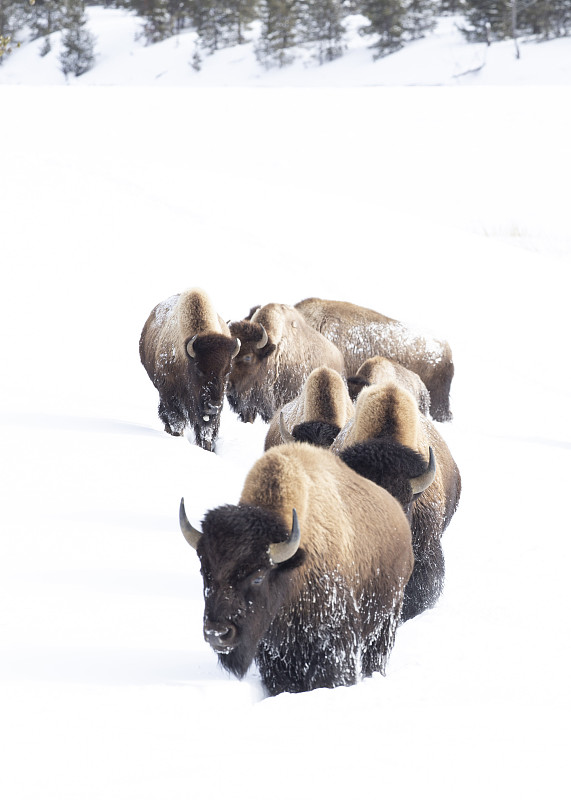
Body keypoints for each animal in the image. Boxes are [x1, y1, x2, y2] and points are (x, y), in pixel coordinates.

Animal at [140, 288, 240, 450]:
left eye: (227, 372)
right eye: (199, 370)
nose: (213, 406)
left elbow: (206, 430)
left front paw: (206, 447)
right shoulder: (170, 394)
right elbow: (177, 421)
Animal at [182, 440, 416, 696]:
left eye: (258, 576)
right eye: (204, 571)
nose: (217, 633)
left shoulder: (333, 641)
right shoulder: (274, 652)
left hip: (389, 615)